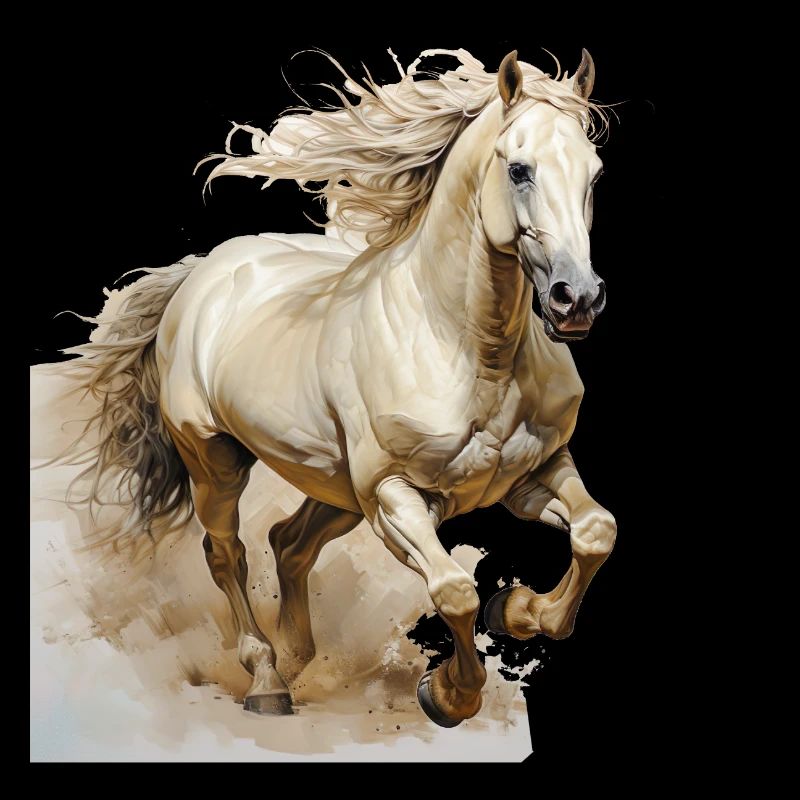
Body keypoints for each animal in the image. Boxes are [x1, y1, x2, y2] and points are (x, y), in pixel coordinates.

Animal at [62, 47, 617, 728]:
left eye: (594, 174)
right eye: (519, 169)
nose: (577, 299)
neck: (468, 350)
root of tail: (201, 273)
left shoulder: (534, 472)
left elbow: (595, 532)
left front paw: (517, 610)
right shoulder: (394, 497)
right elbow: (454, 591)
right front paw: (448, 694)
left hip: (333, 485)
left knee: (289, 544)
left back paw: (300, 657)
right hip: (217, 461)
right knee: (228, 554)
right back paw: (267, 680)